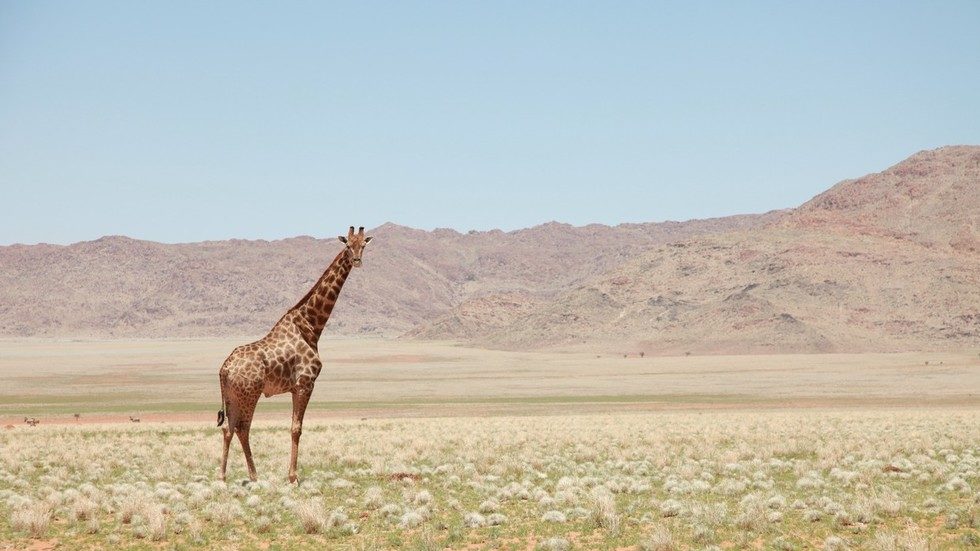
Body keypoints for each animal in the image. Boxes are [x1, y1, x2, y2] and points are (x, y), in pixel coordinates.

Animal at [217, 226, 373, 483]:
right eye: (348, 245)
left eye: (363, 245)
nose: (358, 261)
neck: (310, 326)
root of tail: (224, 368)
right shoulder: (305, 384)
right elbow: (296, 428)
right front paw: (293, 477)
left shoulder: (294, 387)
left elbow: (294, 427)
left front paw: (291, 475)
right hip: (249, 394)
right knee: (242, 428)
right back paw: (251, 475)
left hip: (232, 396)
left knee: (228, 429)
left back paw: (226, 476)